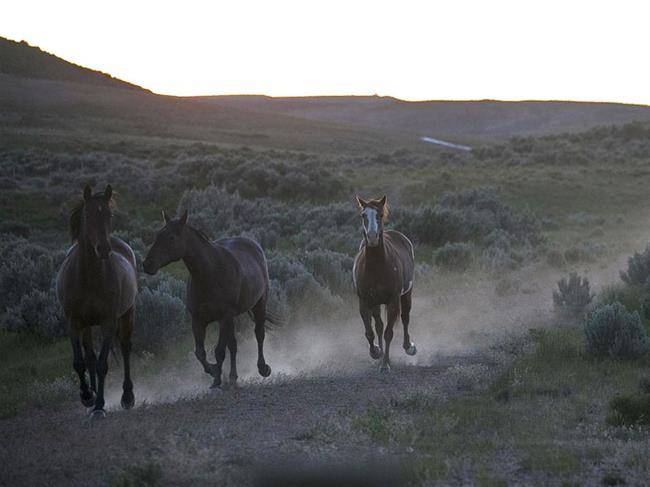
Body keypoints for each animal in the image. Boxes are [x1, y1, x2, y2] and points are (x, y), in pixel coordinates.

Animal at [55, 185, 137, 418]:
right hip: (87, 325)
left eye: (109, 215)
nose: (103, 249)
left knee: (125, 348)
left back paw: (127, 396)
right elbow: (79, 362)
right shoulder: (74, 321)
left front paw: (100, 405)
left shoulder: (108, 321)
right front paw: (87, 396)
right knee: (89, 355)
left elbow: (102, 364)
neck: (88, 277)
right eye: (88, 215)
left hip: (127, 314)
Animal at [142, 210, 274, 388]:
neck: (210, 274)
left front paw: (217, 378)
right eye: (157, 235)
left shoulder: (224, 317)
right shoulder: (198, 319)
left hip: (259, 304)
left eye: (171, 237)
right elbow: (200, 353)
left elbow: (219, 351)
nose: (147, 264)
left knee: (259, 334)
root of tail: (254, 245)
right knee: (233, 345)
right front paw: (213, 372)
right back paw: (233, 377)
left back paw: (263, 368)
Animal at [350, 196, 416, 372]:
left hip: (406, 294)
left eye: (379, 214)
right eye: (363, 215)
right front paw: (376, 353)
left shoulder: (392, 301)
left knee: (405, 317)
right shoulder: (365, 301)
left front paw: (385, 365)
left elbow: (389, 333)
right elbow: (370, 332)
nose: (372, 237)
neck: (376, 268)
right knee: (379, 325)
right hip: (376, 303)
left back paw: (409, 347)